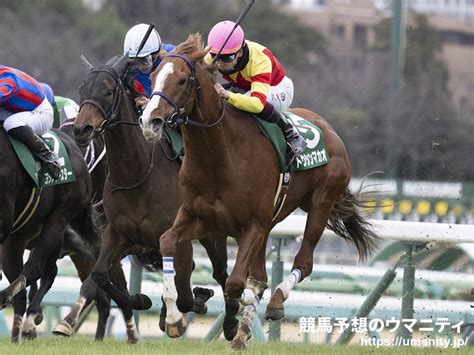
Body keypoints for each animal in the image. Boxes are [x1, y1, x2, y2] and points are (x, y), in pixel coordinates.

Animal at [71, 54, 237, 340]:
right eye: (83, 89)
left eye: (109, 90)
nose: (82, 128)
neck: (136, 175)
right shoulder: (120, 234)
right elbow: (101, 274)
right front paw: (141, 300)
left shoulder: (177, 238)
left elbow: (184, 291)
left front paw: (188, 308)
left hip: (213, 236)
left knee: (221, 275)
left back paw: (230, 321)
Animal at [139, 33, 380, 350]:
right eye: (154, 77)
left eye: (181, 80)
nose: (149, 121)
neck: (220, 156)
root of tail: (328, 129)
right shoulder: (199, 217)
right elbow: (167, 241)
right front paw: (175, 320)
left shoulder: (252, 224)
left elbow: (235, 283)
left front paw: (229, 319)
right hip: (272, 222)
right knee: (261, 276)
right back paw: (243, 333)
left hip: (319, 203)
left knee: (303, 262)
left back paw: (275, 304)